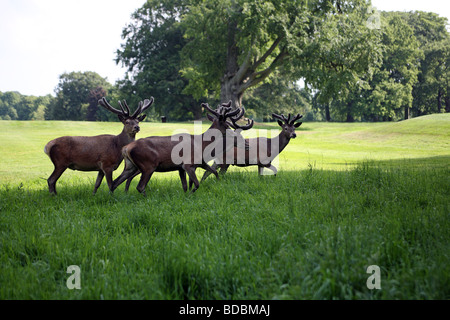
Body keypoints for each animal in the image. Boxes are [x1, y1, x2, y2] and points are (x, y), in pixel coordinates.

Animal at [110, 101, 253, 194]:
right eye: (228, 126)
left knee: (115, 183)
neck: (202, 145)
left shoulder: (193, 164)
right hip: (148, 165)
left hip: (131, 166)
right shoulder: (188, 164)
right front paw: (191, 195)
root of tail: (126, 148)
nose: (247, 144)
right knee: (140, 186)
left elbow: (209, 175)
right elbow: (196, 184)